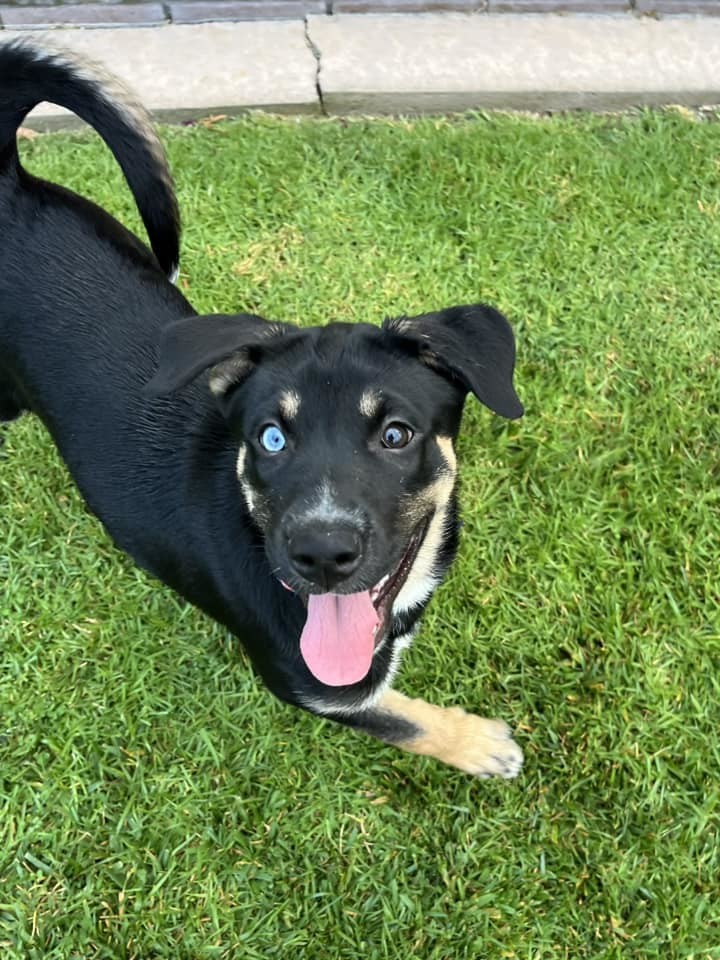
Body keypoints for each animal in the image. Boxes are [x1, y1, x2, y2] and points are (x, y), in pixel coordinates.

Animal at [2, 41, 524, 784]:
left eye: (397, 434)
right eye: (271, 438)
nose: (322, 554)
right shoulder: (309, 682)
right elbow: (398, 715)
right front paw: (480, 744)